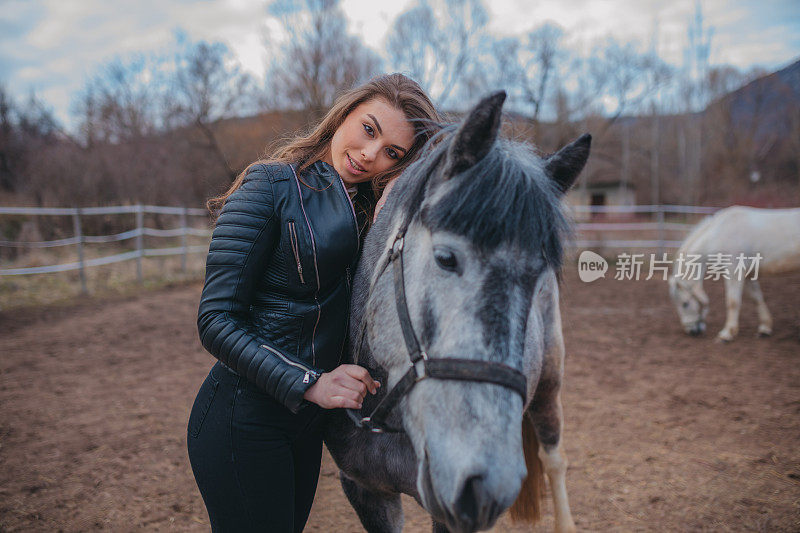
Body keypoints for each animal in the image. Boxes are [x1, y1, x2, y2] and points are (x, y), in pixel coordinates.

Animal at [322, 92, 592, 532]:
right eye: (446, 258)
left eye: (538, 279)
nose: (487, 486)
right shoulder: (364, 490)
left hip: (549, 388)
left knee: (554, 459)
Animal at [668, 205, 800, 340]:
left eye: (685, 304)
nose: (691, 331)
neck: (718, 234)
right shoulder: (748, 274)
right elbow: (756, 298)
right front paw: (765, 328)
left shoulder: (734, 272)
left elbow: (733, 302)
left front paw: (727, 333)